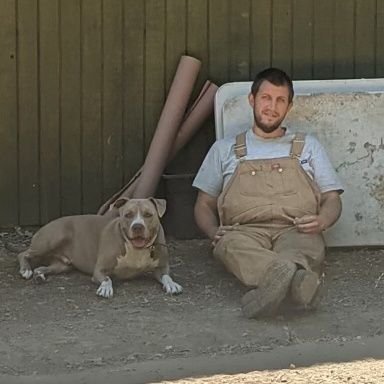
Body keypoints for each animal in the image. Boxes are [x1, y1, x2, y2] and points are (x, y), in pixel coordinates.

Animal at [16, 198, 182, 296]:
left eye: (148, 214)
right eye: (128, 214)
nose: (137, 227)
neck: (136, 249)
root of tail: (48, 223)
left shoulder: (161, 267)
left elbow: (166, 276)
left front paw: (172, 284)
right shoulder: (99, 270)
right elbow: (107, 278)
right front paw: (105, 288)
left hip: (62, 265)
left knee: (41, 267)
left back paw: (39, 275)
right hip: (53, 238)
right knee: (23, 254)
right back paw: (26, 270)